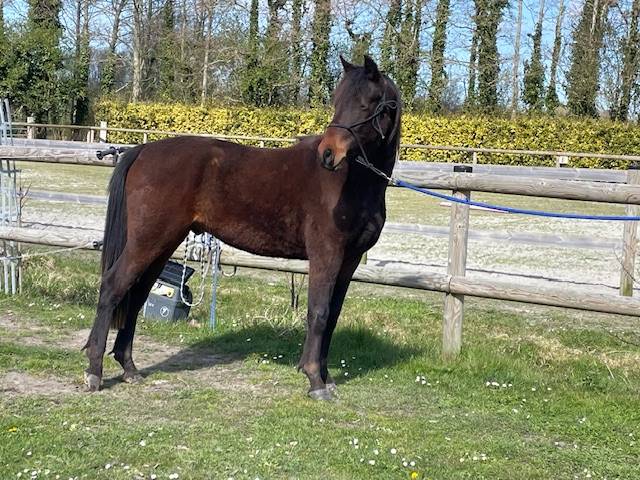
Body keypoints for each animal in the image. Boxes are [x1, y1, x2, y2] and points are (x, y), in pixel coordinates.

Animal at [83, 55, 402, 400]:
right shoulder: (326, 255)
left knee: (137, 293)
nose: (328, 154)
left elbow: (332, 315)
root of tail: (142, 150)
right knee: (113, 286)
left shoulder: (349, 261)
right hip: (147, 241)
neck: (352, 182)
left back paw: (129, 367)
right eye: (337, 101)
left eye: (366, 103)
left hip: (162, 243)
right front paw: (315, 380)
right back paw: (94, 372)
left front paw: (325, 377)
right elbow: (318, 313)